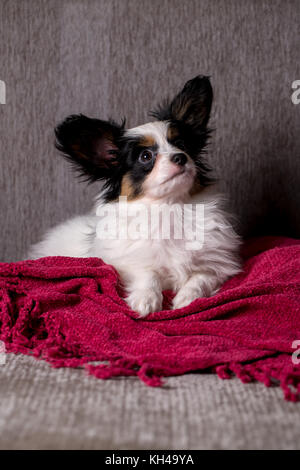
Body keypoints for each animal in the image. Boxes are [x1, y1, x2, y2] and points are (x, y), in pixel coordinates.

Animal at [29, 76, 241, 316]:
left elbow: (200, 278)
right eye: (145, 156)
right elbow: (147, 275)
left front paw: (188, 298)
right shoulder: (126, 263)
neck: (169, 207)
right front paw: (145, 300)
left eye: (182, 145)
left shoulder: (217, 263)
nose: (180, 157)